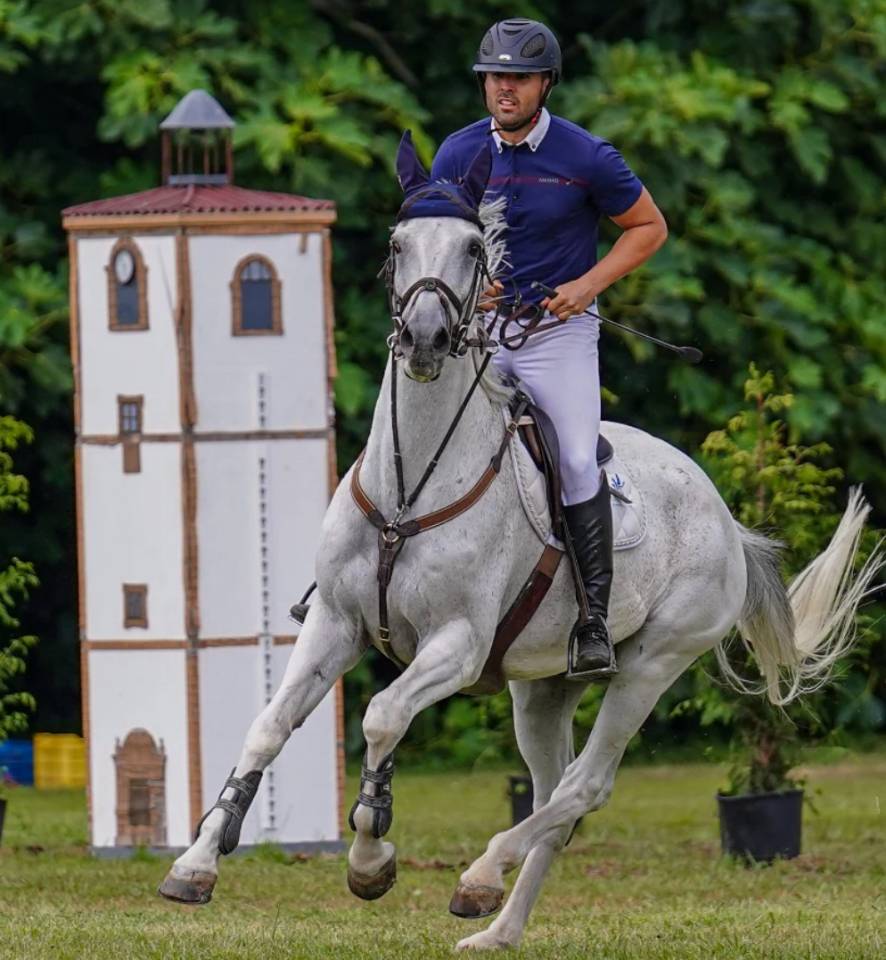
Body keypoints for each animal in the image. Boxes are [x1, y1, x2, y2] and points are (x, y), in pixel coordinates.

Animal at [159, 134, 881, 951]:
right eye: (397, 244)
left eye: (475, 247)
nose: (426, 339)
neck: (412, 487)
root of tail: (728, 521)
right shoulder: (336, 624)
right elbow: (269, 727)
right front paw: (195, 865)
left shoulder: (458, 643)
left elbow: (382, 716)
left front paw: (371, 857)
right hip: (542, 688)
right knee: (553, 795)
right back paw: (494, 926)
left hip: (651, 664)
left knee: (584, 786)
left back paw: (480, 872)